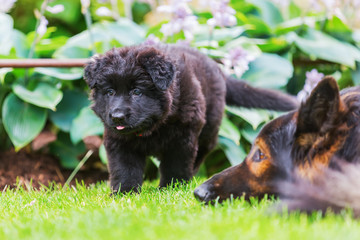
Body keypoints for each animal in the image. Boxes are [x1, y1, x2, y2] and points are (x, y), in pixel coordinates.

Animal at [84, 42, 298, 193]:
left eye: (137, 92)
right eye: (110, 92)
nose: (117, 116)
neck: (152, 128)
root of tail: (218, 69)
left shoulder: (183, 137)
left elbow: (176, 164)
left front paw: (171, 188)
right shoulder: (119, 142)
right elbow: (124, 168)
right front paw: (124, 193)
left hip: (208, 130)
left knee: (201, 152)